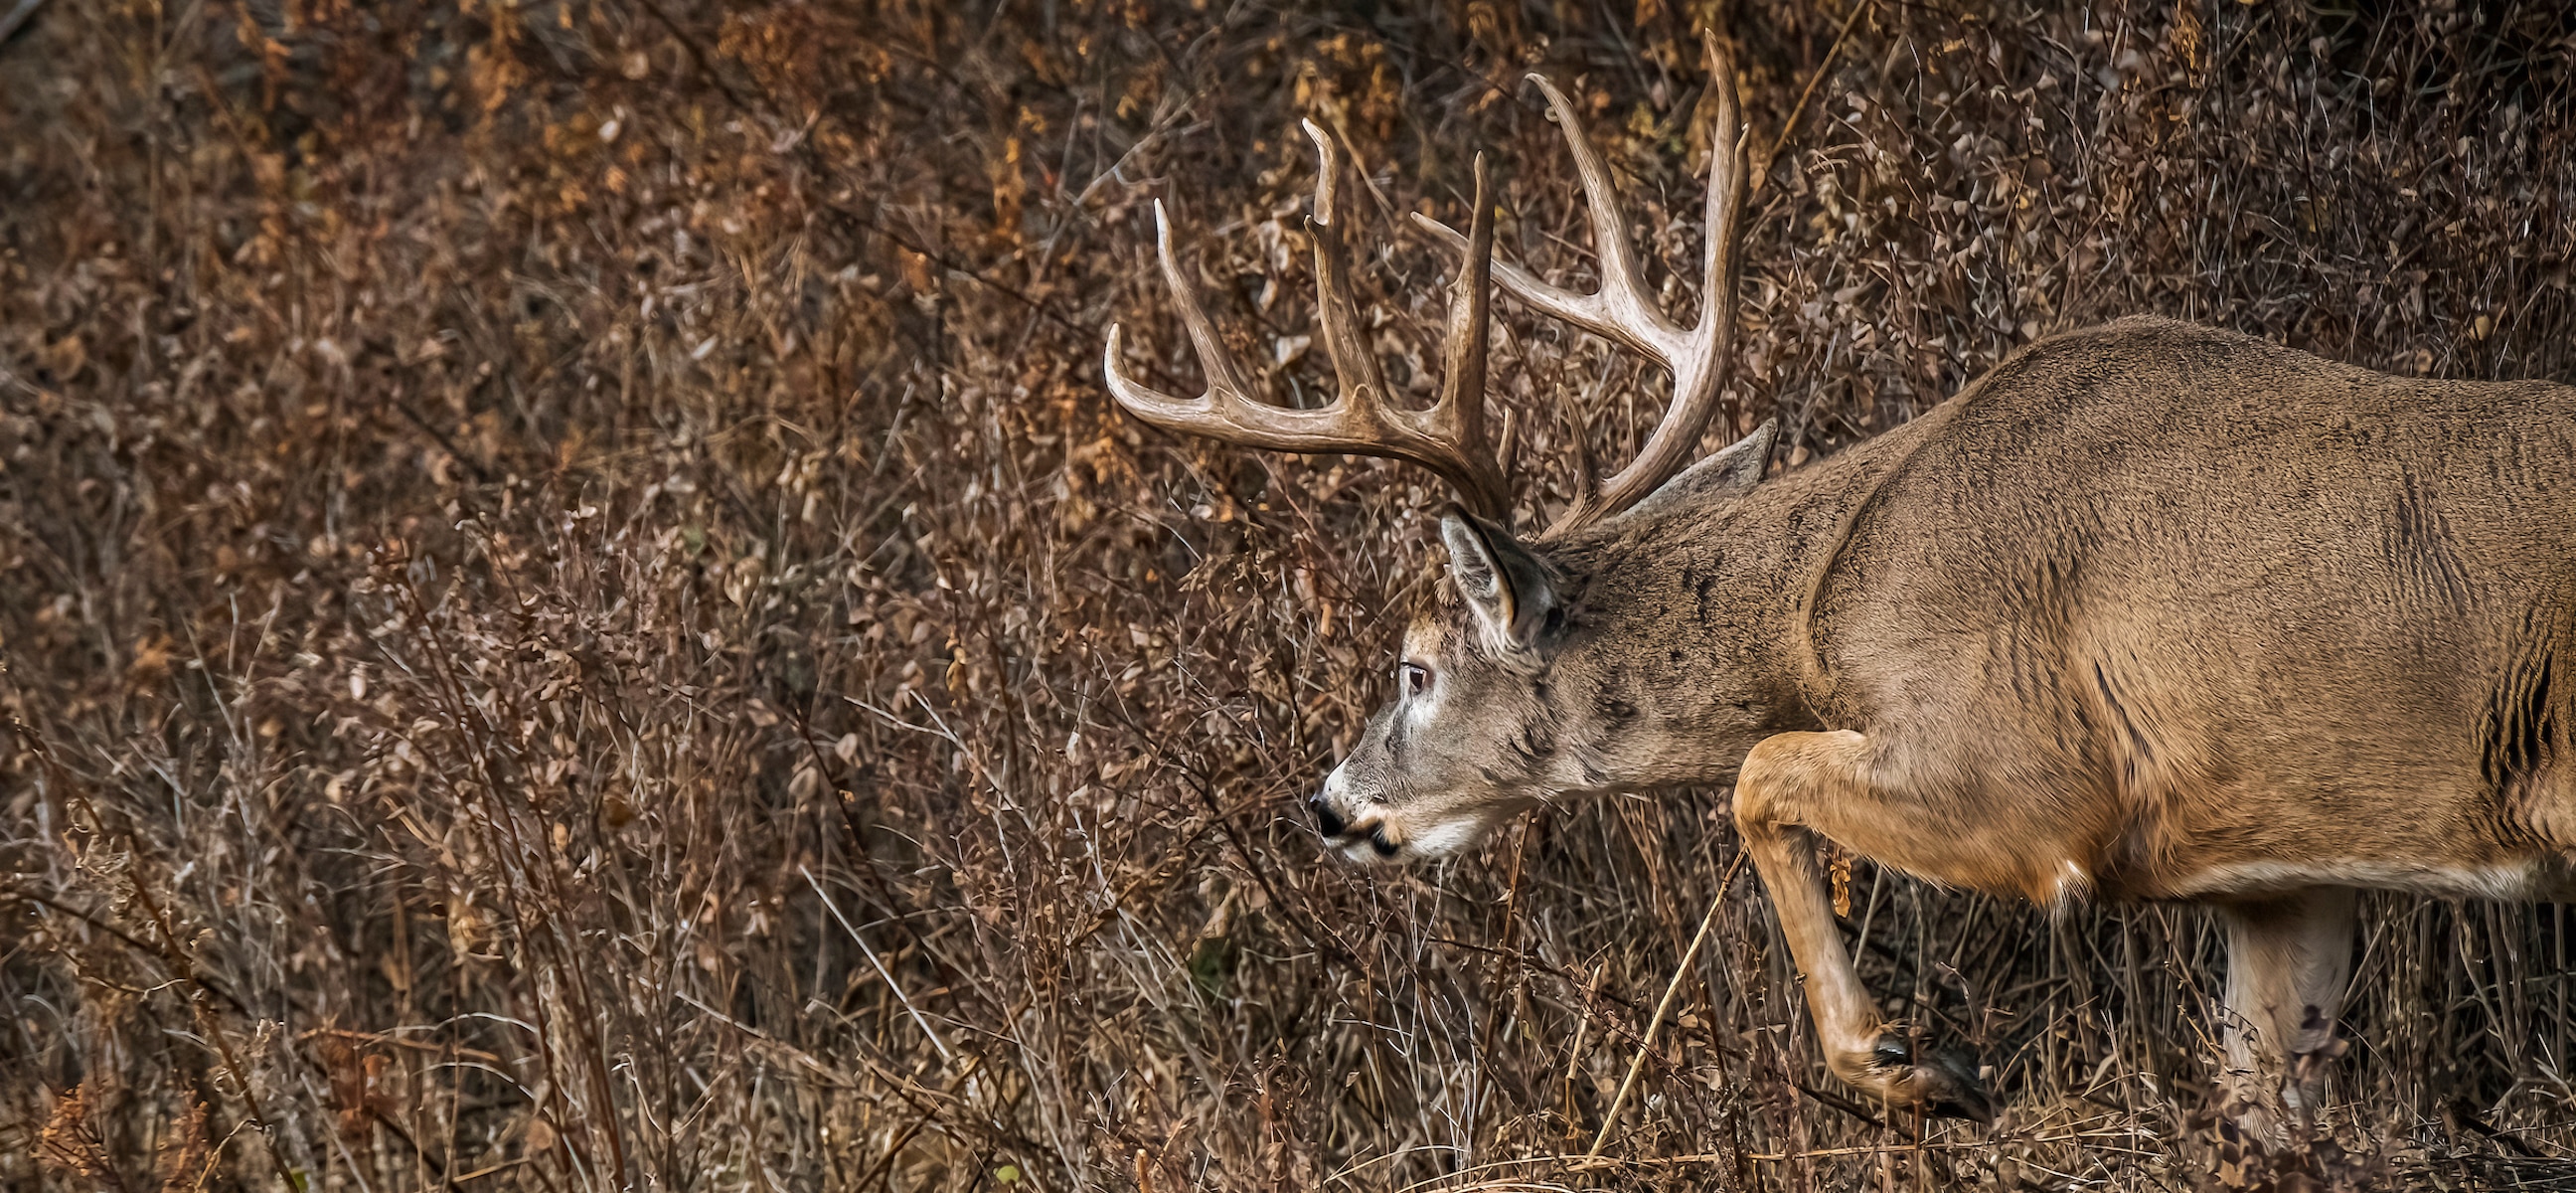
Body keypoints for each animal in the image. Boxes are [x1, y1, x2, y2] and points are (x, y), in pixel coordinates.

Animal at [1102, 32, 2576, 1123]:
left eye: (1414, 665)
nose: (1327, 805)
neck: (1837, 598)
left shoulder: (2042, 782)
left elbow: (1757, 776)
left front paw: (1913, 1066)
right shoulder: (2278, 871)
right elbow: (2259, 1108)